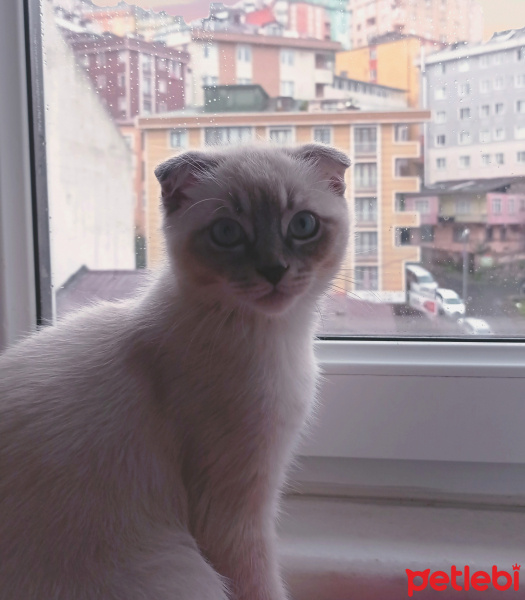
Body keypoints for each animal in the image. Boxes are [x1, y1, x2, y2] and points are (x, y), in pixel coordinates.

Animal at [1, 143, 352, 596]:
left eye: (303, 225)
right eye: (227, 233)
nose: (273, 270)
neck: (279, 337)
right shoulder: (234, 512)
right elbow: (261, 584)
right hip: (185, 572)